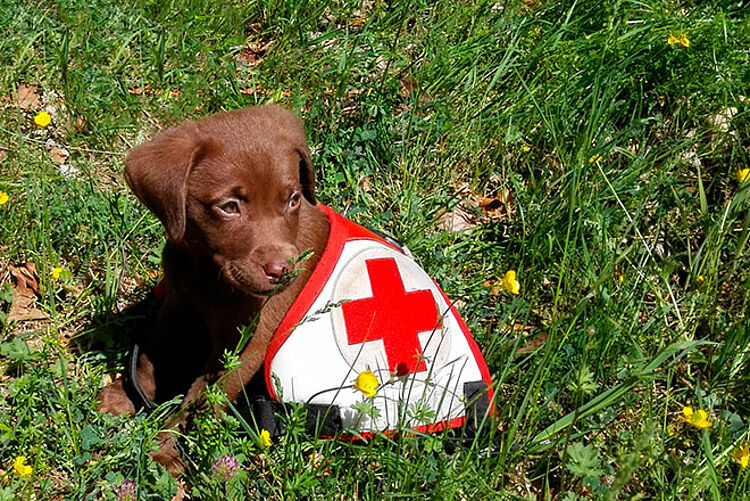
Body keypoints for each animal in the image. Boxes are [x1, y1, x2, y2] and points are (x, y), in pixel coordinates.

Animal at [99, 106, 332, 472]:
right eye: (229, 206)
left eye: (293, 200)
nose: (282, 271)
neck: (206, 274)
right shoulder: (178, 305)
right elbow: (152, 357)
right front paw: (127, 395)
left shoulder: (246, 346)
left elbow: (202, 399)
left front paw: (166, 449)